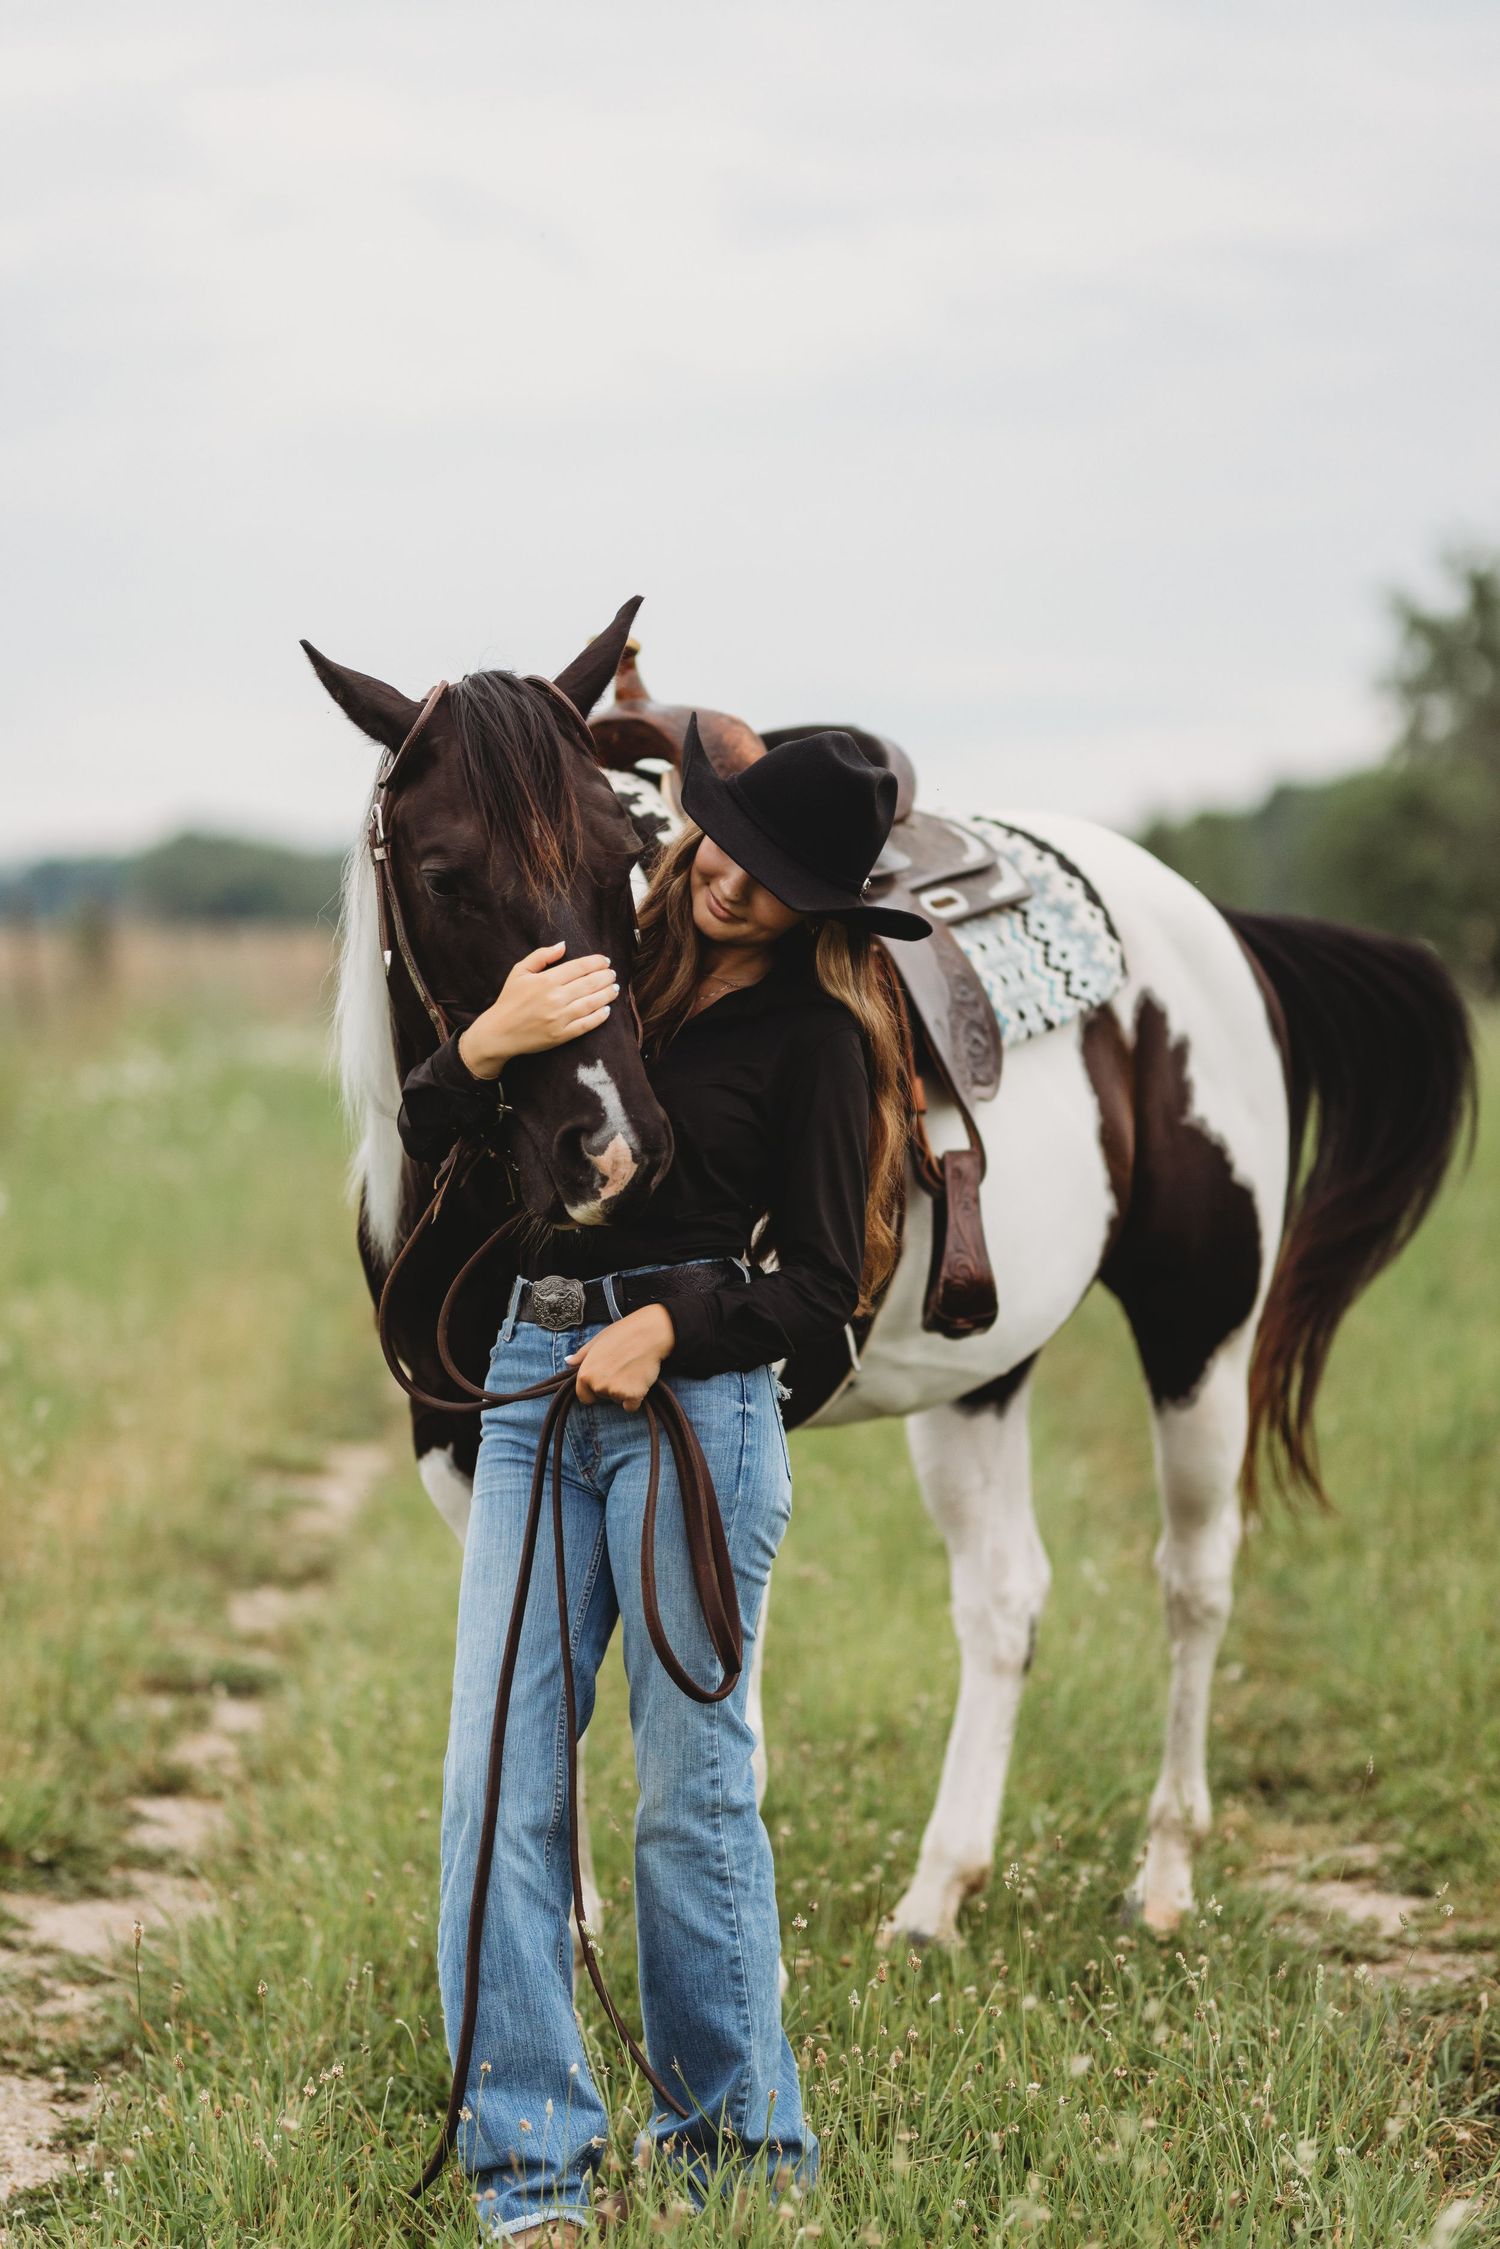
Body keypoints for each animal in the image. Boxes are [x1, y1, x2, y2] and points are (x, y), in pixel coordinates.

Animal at [308, 599, 1476, 1946]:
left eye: (624, 859)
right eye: (445, 874)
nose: (610, 1145)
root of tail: (1217, 929)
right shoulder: (470, 1449)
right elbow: (536, 1681)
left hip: (1202, 1333)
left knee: (1195, 1578)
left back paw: (1165, 1872)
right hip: (983, 1370)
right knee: (1006, 1596)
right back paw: (939, 1891)